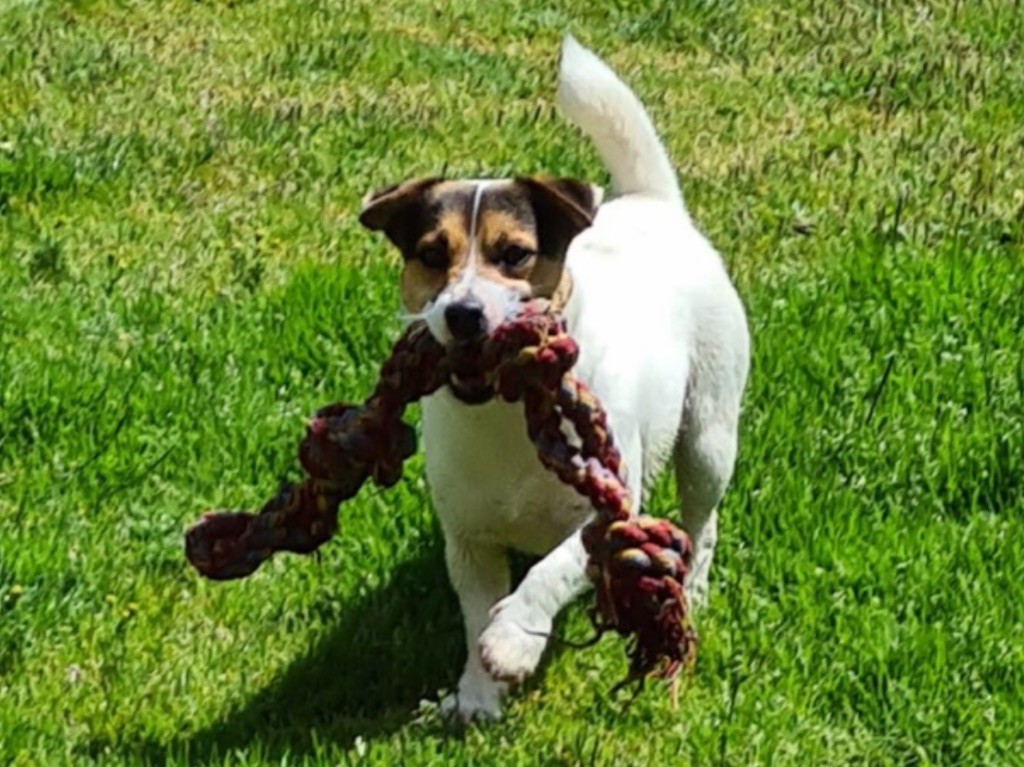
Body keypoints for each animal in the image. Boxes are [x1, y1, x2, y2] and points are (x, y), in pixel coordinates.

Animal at [360, 34, 753, 716]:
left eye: (514, 254)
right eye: (431, 255)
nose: (463, 314)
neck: (503, 415)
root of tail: (654, 205)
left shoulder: (607, 514)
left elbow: (548, 572)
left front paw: (515, 640)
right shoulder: (468, 539)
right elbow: (476, 610)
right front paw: (478, 690)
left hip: (709, 434)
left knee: (703, 520)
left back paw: (697, 587)